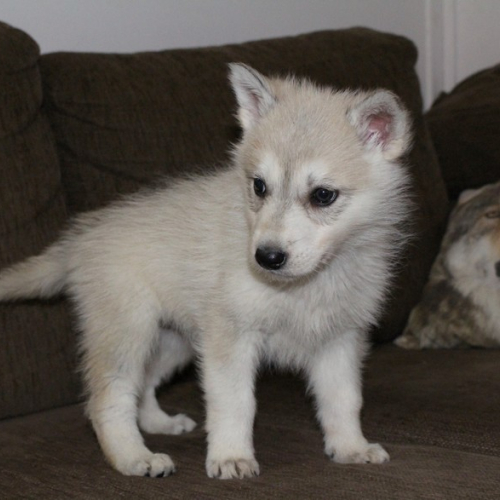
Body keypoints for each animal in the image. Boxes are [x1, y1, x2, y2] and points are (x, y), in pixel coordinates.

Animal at [0, 64, 410, 478]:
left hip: (173, 340)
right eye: (259, 187)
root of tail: (81, 238)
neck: (305, 284)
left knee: (143, 386)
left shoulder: (339, 340)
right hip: (127, 333)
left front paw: (350, 447)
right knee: (109, 400)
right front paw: (231, 456)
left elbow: (344, 400)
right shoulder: (230, 337)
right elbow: (235, 403)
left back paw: (159, 424)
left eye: (323, 195)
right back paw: (134, 457)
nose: (266, 257)